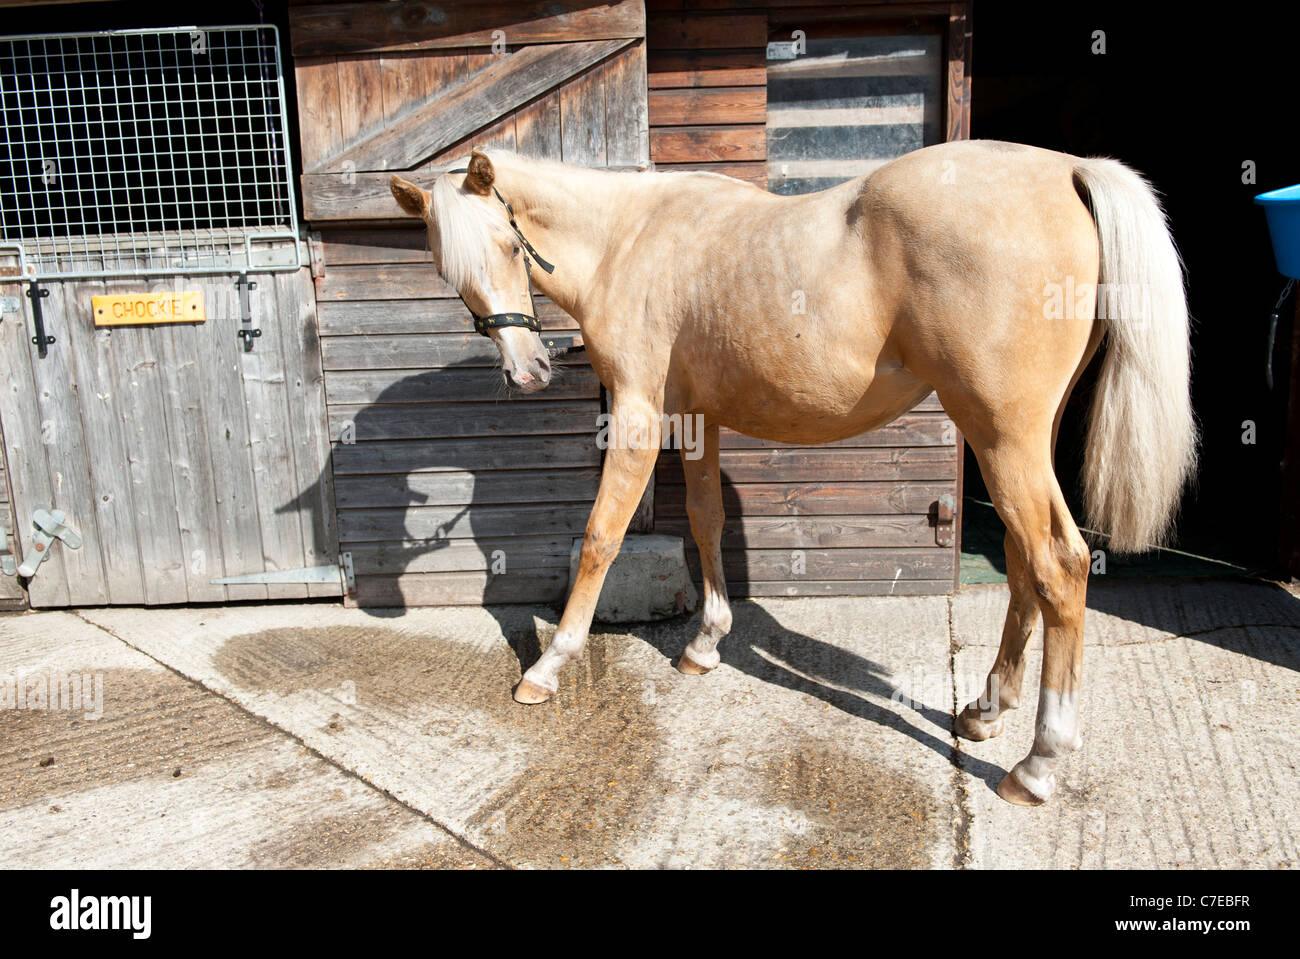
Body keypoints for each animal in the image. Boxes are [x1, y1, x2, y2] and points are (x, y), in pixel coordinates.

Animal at [390, 138, 1190, 805]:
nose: (527, 372)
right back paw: (986, 711)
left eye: (508, 243)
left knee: (1060, 564)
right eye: (448, 272)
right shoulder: (698, 418)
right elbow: (706, 523)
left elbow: (600, 537)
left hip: (1003, 438)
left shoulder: (641, 412)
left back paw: (1038, 763)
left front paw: (548, 667)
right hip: (1018, 440)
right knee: (1026, 564)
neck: (631, 239)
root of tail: (1070, 169)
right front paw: (705, 645)